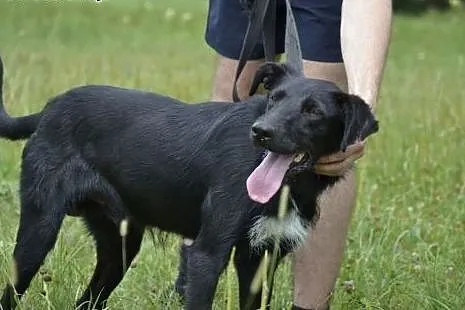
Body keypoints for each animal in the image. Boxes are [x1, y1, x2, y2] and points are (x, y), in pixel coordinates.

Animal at [0, 57, 376, 308]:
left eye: (313, 111)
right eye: (274, 98)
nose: (260, 132)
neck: (288, 187)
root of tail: (50, 108)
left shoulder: (261, 259)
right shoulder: (207, 255)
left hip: (119, 245)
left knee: (88, 300)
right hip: (39, 230)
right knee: (12, 290)